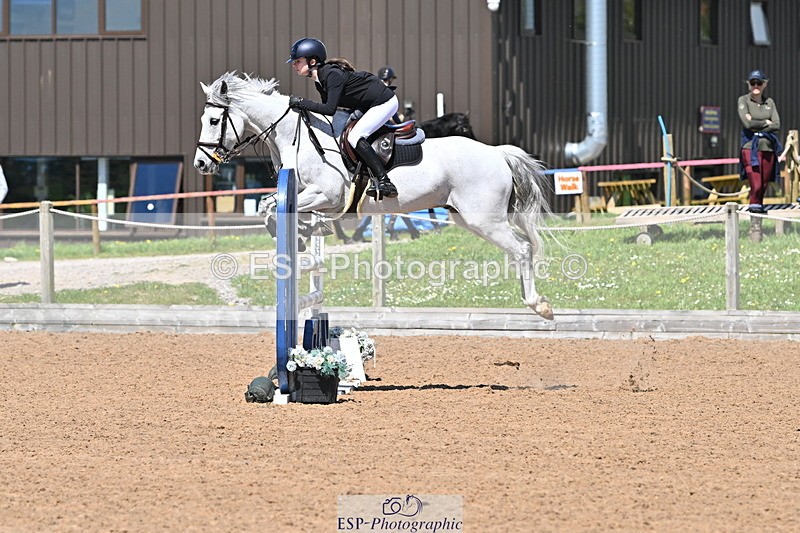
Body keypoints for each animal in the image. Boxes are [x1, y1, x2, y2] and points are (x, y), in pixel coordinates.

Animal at [193, 72, 554, 319]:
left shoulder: (328, 194)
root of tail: (497, 153)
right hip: (467, 218)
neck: (296, 136)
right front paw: (306, 234)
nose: (200, 163)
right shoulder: (308, 194)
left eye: (213, 120)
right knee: (522, 246)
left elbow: (274, 208)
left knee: (522, 248)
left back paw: (538, 305)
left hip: (484, 219)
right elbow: (268, 206)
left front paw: (303, 236)